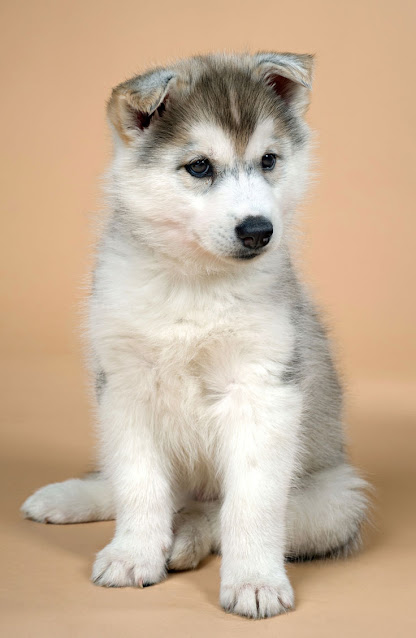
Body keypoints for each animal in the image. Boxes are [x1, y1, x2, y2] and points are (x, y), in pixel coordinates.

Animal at [21, 52, 368, 624]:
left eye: (269, 160)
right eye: (200, 167)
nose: (258, 230)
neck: (194, 282)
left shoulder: (261, 389)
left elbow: (249, 506)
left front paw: (255, 582)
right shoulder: (125, 388)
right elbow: (138, 484)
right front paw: (133, 554)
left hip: (339, 499)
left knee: (212, 513)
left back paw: (185, 538)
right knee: (137, 487)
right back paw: (72, 499)